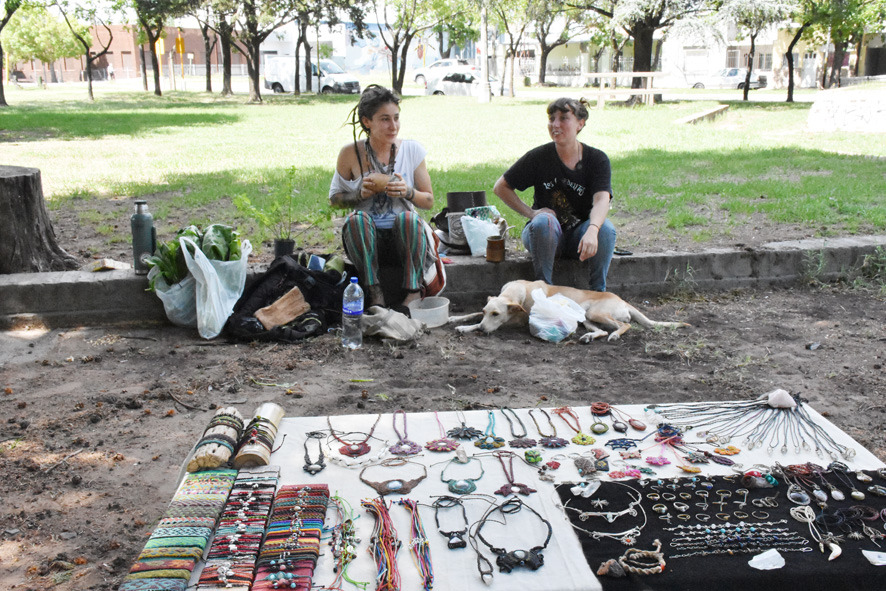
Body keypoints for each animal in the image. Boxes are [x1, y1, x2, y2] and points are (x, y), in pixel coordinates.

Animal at [450, 280, 692, 342]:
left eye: (496, 314)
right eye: (486, 311)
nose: (483, 330)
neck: (518, 291)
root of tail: (622, 299)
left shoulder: (517, 320)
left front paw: (469, 327)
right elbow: (472, 313)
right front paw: (457, 319)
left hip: (596, 313)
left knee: (625, 324)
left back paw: (615, 334)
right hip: (586, 318)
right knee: (600, 330)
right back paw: (589, 337)